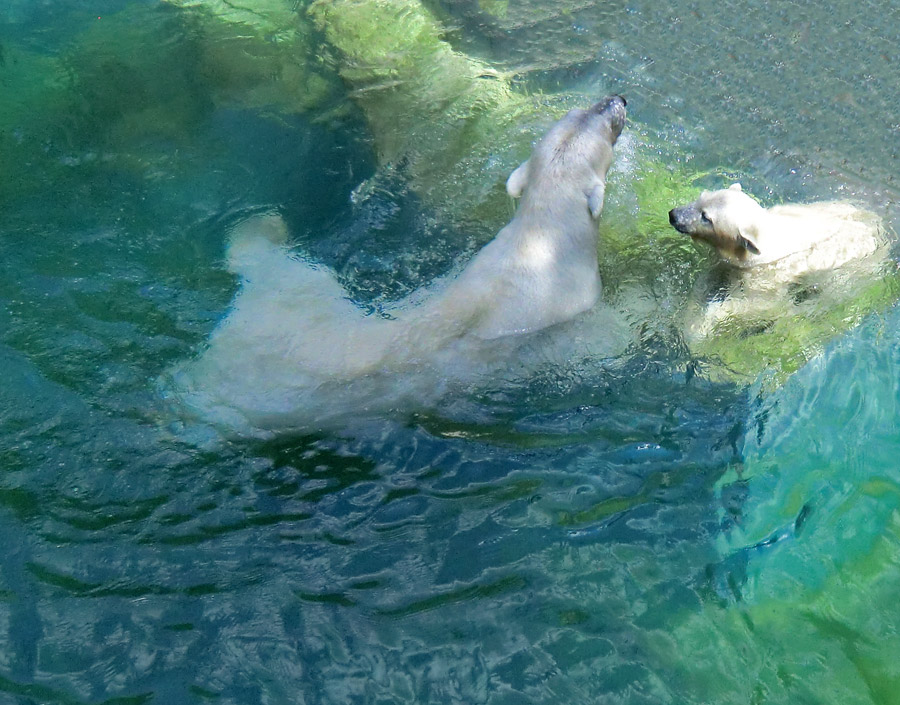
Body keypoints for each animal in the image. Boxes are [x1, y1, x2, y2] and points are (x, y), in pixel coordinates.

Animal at [668, 183, 884, 342]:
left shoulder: (766, 273)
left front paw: (704, 324)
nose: (673, 215)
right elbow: (708, 280)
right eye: (701, 197)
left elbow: (760, 305)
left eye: (706, 217)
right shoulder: (730, 262)